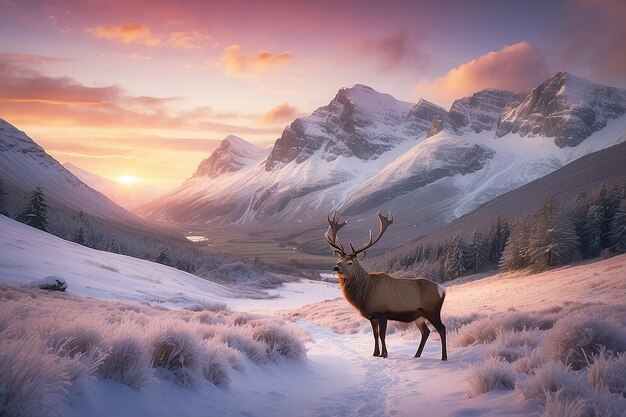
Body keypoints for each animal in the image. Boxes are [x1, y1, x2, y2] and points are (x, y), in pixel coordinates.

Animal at [324, 213, 446, 360]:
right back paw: (416, 355)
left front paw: (384, 354)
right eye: (339, 260)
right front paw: (375, 353)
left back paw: (444, 357)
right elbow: (375, 335)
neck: (367, 292)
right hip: (419, 316)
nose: (336, 268)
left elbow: (382, 335)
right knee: (426, 332)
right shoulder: (372, 316)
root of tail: (442, 289)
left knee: (442, 328)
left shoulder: (383, 311)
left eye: (350, 262)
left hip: (432, 310)